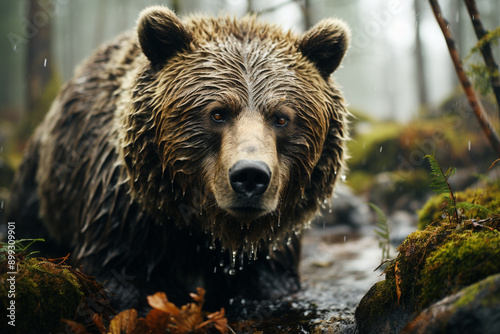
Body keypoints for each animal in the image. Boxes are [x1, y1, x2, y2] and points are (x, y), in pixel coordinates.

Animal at [8, 5, 352, 314]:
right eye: (217, 113)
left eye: (281, 118)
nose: (250, 176)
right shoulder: (123, 219)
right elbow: (126, 279)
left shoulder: (271, 247)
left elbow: (270, 285)